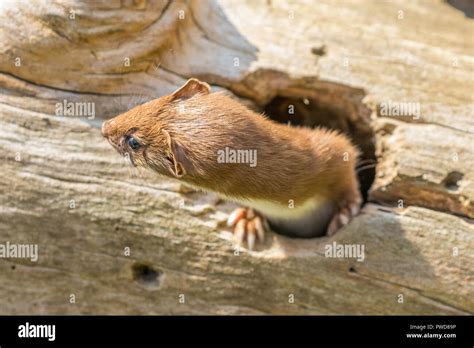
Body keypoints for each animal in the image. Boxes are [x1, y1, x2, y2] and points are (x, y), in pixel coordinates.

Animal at [102, 78, 362, 250]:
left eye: (134, 141)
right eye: (146, 105)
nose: (105, 127)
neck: (290, 208)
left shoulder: (329, 147)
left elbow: (347, 163)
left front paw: (345, 212)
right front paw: (249, 222)